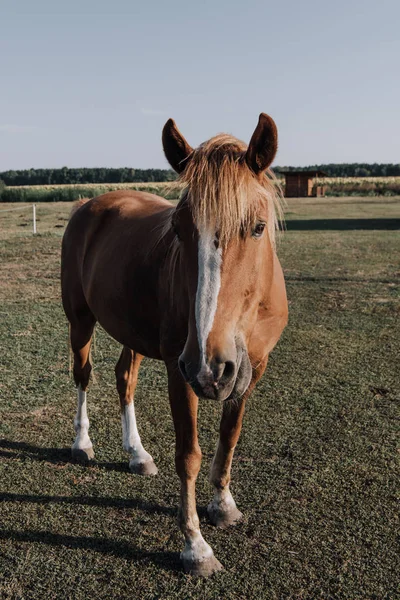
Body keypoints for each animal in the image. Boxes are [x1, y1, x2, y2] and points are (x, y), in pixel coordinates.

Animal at [60, 112, 288, 576]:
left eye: (258, 227)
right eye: (179, 230)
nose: (210, 366)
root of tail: (89, 205)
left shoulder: (253, 368)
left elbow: (230, 435)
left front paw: (224, 505)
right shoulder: (179, 372)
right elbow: (189, 454)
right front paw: (195, 546)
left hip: (132, 331)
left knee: (124, 379)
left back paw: (137, 453)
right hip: (81, 322)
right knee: (83, 376)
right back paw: (82, 444)